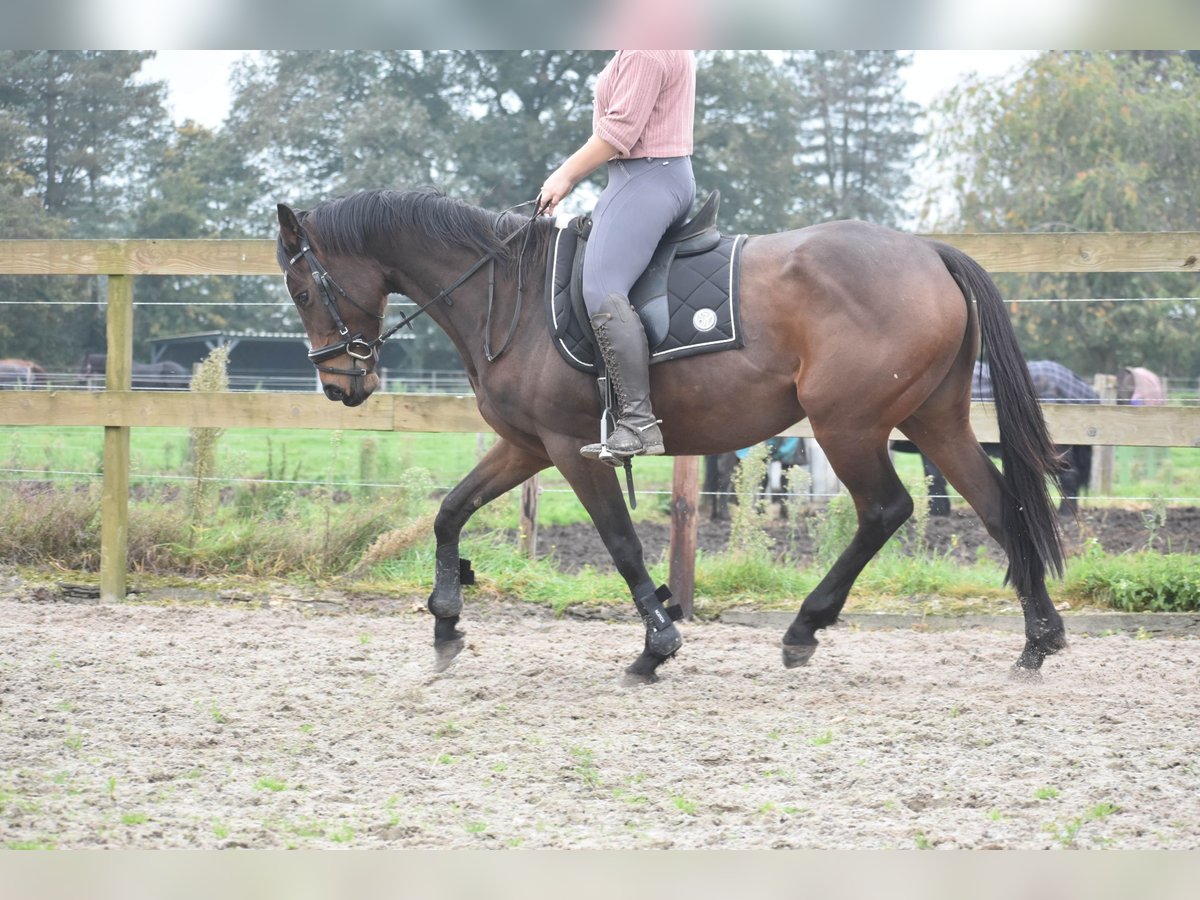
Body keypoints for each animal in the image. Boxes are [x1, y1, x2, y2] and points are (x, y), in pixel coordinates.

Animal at [274, 190, 1070, 681]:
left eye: (304, 290)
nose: (340, 384)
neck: (511, 297)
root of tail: (930, 252)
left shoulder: (573, 450)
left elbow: (623, 543)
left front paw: (657, 646)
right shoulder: (526, 447)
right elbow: (448, 512)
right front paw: (445, 623)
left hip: (848, 424)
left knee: (886, 510)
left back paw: (805, 627)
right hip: (933, 418)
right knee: (998, 507)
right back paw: (1038, 639)